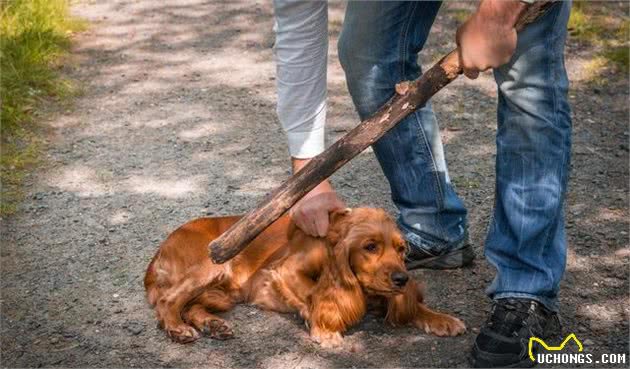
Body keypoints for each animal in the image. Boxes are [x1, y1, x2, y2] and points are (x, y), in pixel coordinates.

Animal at [146, 207, 466, 344]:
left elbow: (416, 308)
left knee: (191, 306)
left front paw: (442, 319)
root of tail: (159, 249)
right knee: (169, 301)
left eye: (402, 249)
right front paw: (324, 328)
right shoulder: (285, 269)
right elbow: (312, 295)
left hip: (222, 294)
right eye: (370, 246)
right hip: (213, 265)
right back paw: (177, 328)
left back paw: (213, 325)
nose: (401, 280)